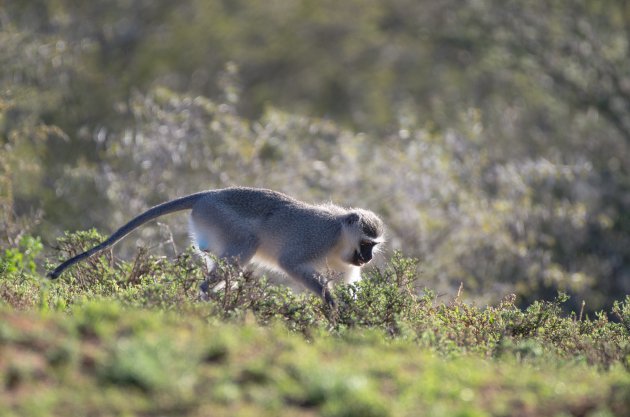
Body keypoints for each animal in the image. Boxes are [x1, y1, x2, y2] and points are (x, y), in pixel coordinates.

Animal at [48, 187, 386, 304]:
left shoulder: (345, 263)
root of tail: (207, 195)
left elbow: (350, 284)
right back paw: (211, 298)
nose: (368, 259)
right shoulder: (316, 238)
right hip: (223, 221)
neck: (339, 237)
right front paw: (333, 306)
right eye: (367, 243)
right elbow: (290, 263)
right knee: (244, 248)